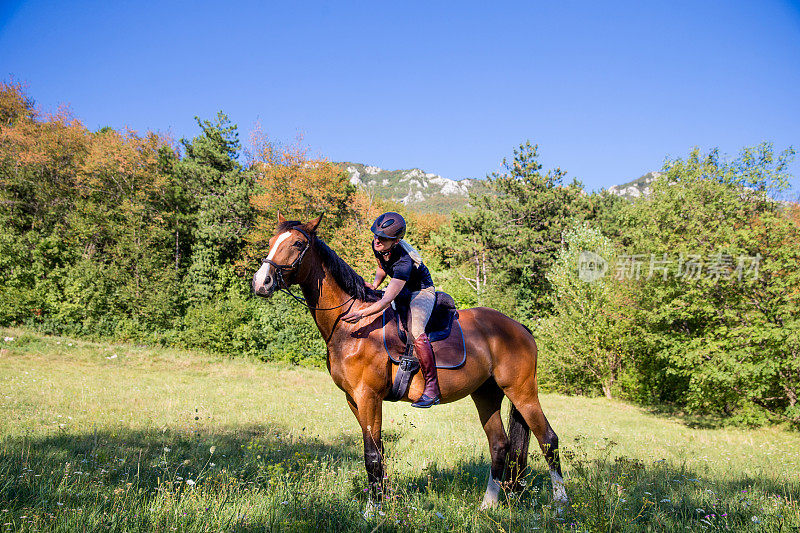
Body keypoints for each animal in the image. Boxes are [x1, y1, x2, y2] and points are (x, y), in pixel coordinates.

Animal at [252, 214, 568, 512]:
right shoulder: (354, 400)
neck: (351, 324)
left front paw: (372, 512)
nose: (260, 282)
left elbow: (372, 456)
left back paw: (561, 504)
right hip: (486, 394)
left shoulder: (368, 396)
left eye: (297, 243)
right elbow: (378, 452)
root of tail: (520, 328)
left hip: (522, 392)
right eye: (271, 241)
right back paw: (488, 505)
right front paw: (381, 503)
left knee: (548, 439)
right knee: (500, 444)